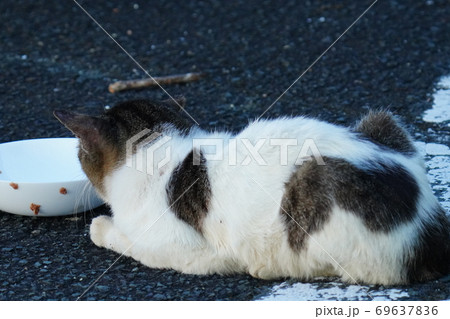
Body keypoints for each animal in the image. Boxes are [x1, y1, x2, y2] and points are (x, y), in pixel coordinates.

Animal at [53, 99, 450, 286]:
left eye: (79, 151)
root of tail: (432, 228)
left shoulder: (184, 251)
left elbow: (124, 240)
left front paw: (101, 227)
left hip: (313, 194)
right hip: (382, 120)